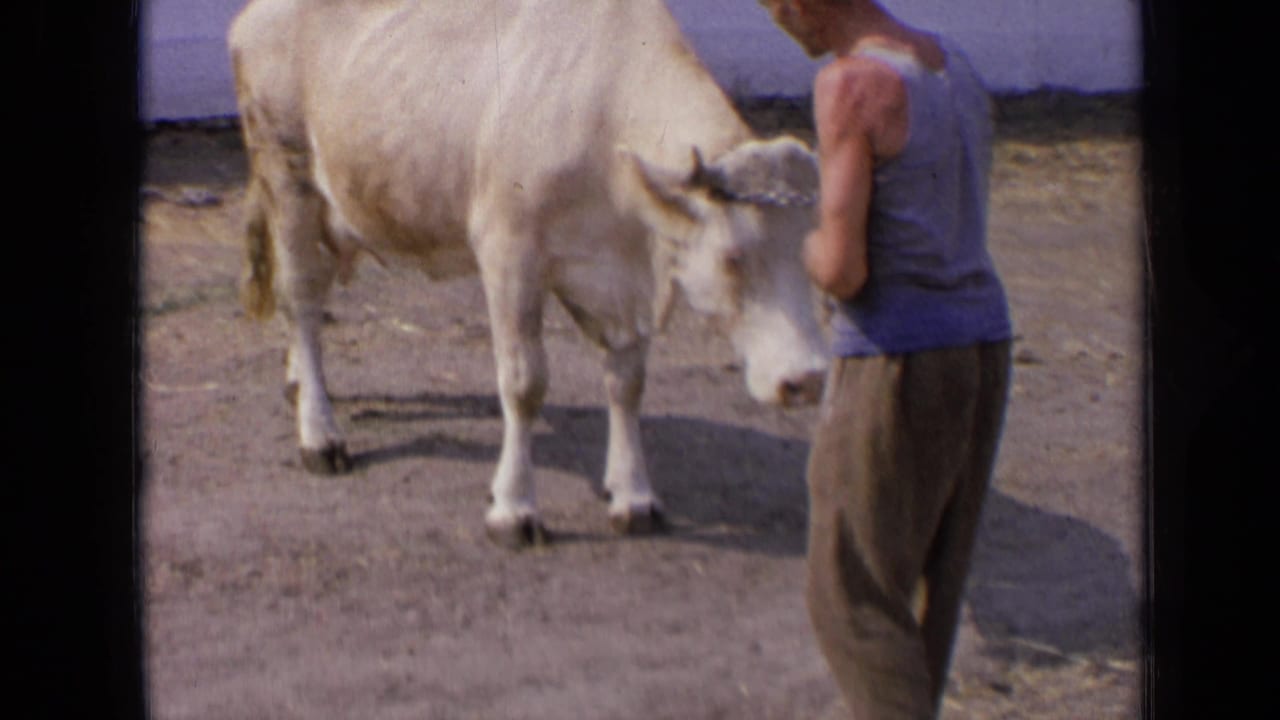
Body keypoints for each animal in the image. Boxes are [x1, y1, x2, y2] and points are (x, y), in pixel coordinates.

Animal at [228, 0, 828, 548]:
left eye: (810, 257)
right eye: (732, 257)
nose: (807, 379)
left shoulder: (620, 277)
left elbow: (627, 382)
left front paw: (633, 495)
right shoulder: (509, 254)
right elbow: (523, 384)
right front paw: (513, 508)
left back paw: (299, 384)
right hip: (288, 177)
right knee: (301, 299)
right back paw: (320, 434)